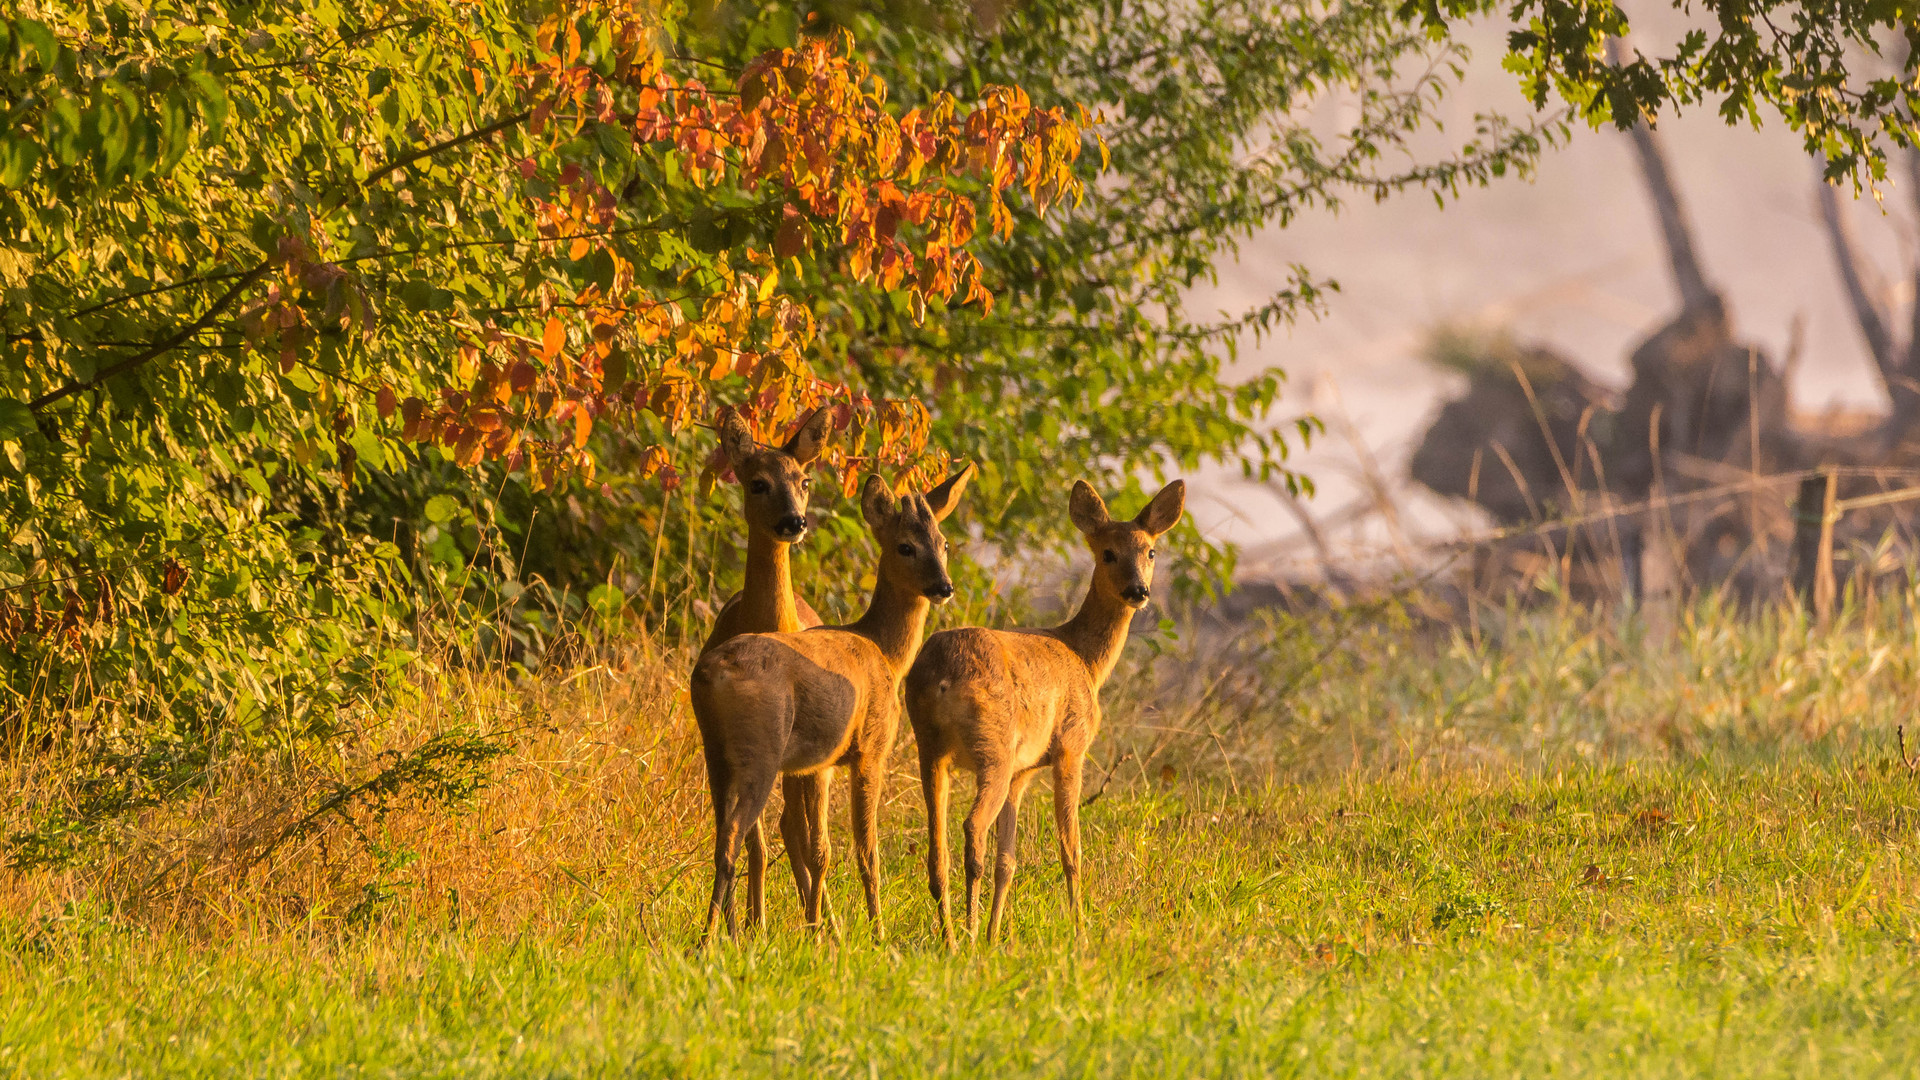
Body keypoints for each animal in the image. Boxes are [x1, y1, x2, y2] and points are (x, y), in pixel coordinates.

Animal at [691, 463, 975, 941]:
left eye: (945, 543)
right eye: (906, 546)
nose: (944, 586)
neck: (883, 651)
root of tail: (707, 675)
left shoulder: (815, 764)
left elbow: (817, 847)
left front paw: (820, 929)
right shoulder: (870, 749)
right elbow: (865, 850)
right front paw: (876, 934)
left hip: (715, 754)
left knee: (721, 838)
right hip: (759, 750)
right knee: (733, 839)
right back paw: (712, 939)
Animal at [698, 403, 833, 926]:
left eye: (805, 479)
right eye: (757, 482)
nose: (794, 522)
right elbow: (753, 843)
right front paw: (753, 925)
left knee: (794, 827)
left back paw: (824, 919)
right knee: (773, 828)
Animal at [902, 476, 1182, 941]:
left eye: (1151, 551)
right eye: (1108, 552)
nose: (1138, 591)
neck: (1084, 658)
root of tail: (940, 676)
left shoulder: (1023, 771)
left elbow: (1008, 860)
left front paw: (997, 935)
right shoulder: (1071, 747)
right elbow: (1072, 849)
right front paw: (1080, 929)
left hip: (931, 749)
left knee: (936, 849)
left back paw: (954, 937)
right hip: (993, 747)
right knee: (972, 828)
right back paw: (968, 933)